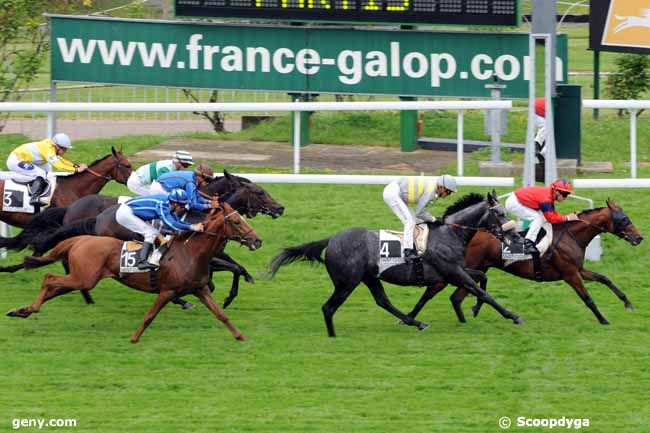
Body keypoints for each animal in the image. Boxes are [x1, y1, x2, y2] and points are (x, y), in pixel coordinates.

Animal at [6, 201, 260, 342]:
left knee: (53, 287)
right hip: (84, 278)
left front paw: (240, 336)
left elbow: (221, 314)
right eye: (237, 222)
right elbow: (149, 316)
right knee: (49, 278)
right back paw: (28, 309)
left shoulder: (199, 289)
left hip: (81, 278)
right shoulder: (168, 291)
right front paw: (135, 338)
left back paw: (23, 310)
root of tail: (80, 239)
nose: (257, 240)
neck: (190, 253)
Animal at [268, 192, 520, 338]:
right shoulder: (453, 272)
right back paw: (333, 336)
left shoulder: (454, 271)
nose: (516, 235)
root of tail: (330, 240)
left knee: (383, 301)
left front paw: (476, 308)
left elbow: (482, 278)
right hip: (347, 282)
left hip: (368, 278)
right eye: (499, 213)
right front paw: (513, 316)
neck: (450, 234)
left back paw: (416, 322)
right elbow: (482, 291)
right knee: (328, 307)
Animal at [404, 199, 644, 324]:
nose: (639, 237)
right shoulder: (570, 274)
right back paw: (411, 317)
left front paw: (628, 303)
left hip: (474, 269)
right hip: (456, 270)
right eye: (625, 219)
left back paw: (467, 316)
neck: (571, 235)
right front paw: (603, 319)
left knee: (456, 297)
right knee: (436, 291)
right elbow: (588, 299)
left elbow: (605, 278)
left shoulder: (579, 270)